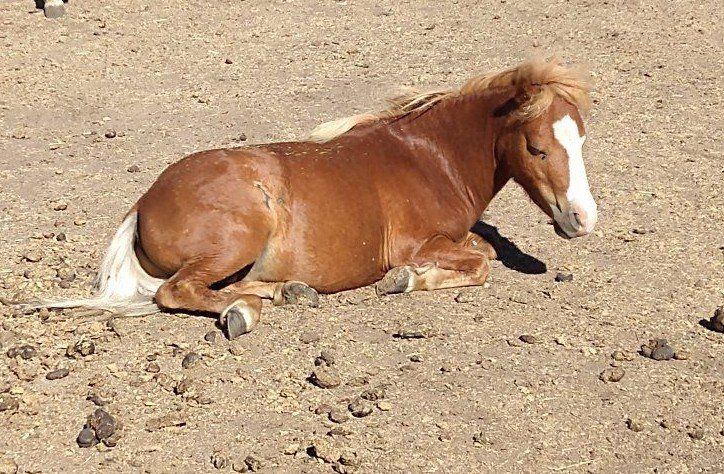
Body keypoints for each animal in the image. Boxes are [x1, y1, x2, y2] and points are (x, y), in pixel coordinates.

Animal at [35, 57, 598, 339]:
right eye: (537, 147)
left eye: (582, 138)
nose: (583, 219)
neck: (431, 157)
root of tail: (143, 204)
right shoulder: (415, 243)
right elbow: (481, 261)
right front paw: (405, 281)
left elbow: (483, 252)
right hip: (238, 237)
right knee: (177, 291)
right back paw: (243, 312)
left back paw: (287, 292)